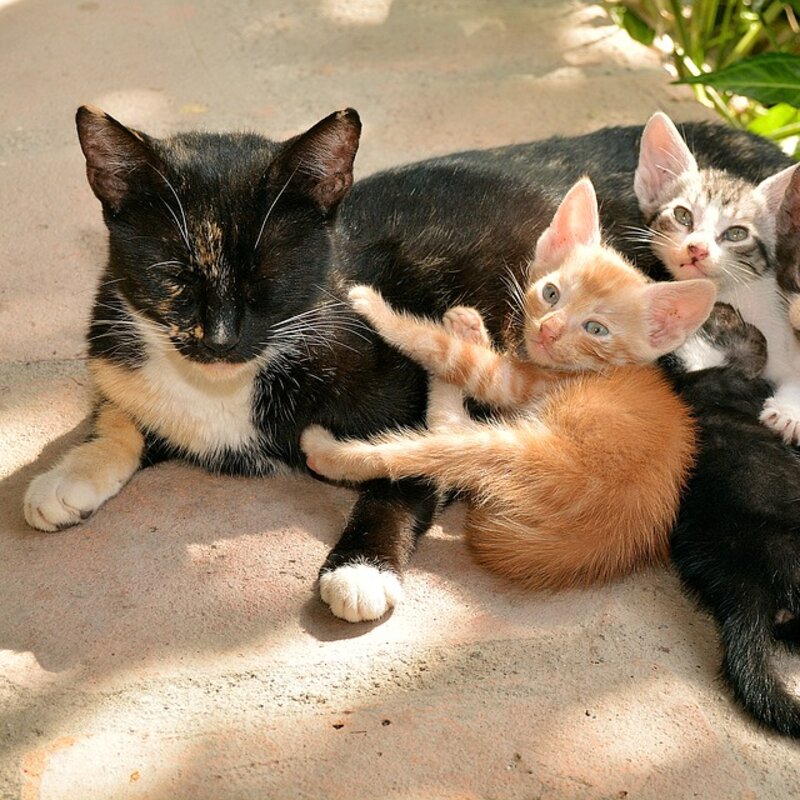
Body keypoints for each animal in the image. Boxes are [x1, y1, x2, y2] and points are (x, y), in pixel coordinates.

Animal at [304, 183, 716, 592]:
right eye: (551, 293)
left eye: (596, 329)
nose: (548, 330)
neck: (595, 369)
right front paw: (471, 330)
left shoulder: (520, 381)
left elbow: (446, 352)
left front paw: (375, 307)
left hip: (526, 453)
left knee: (428, 445)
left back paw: (324, 450)